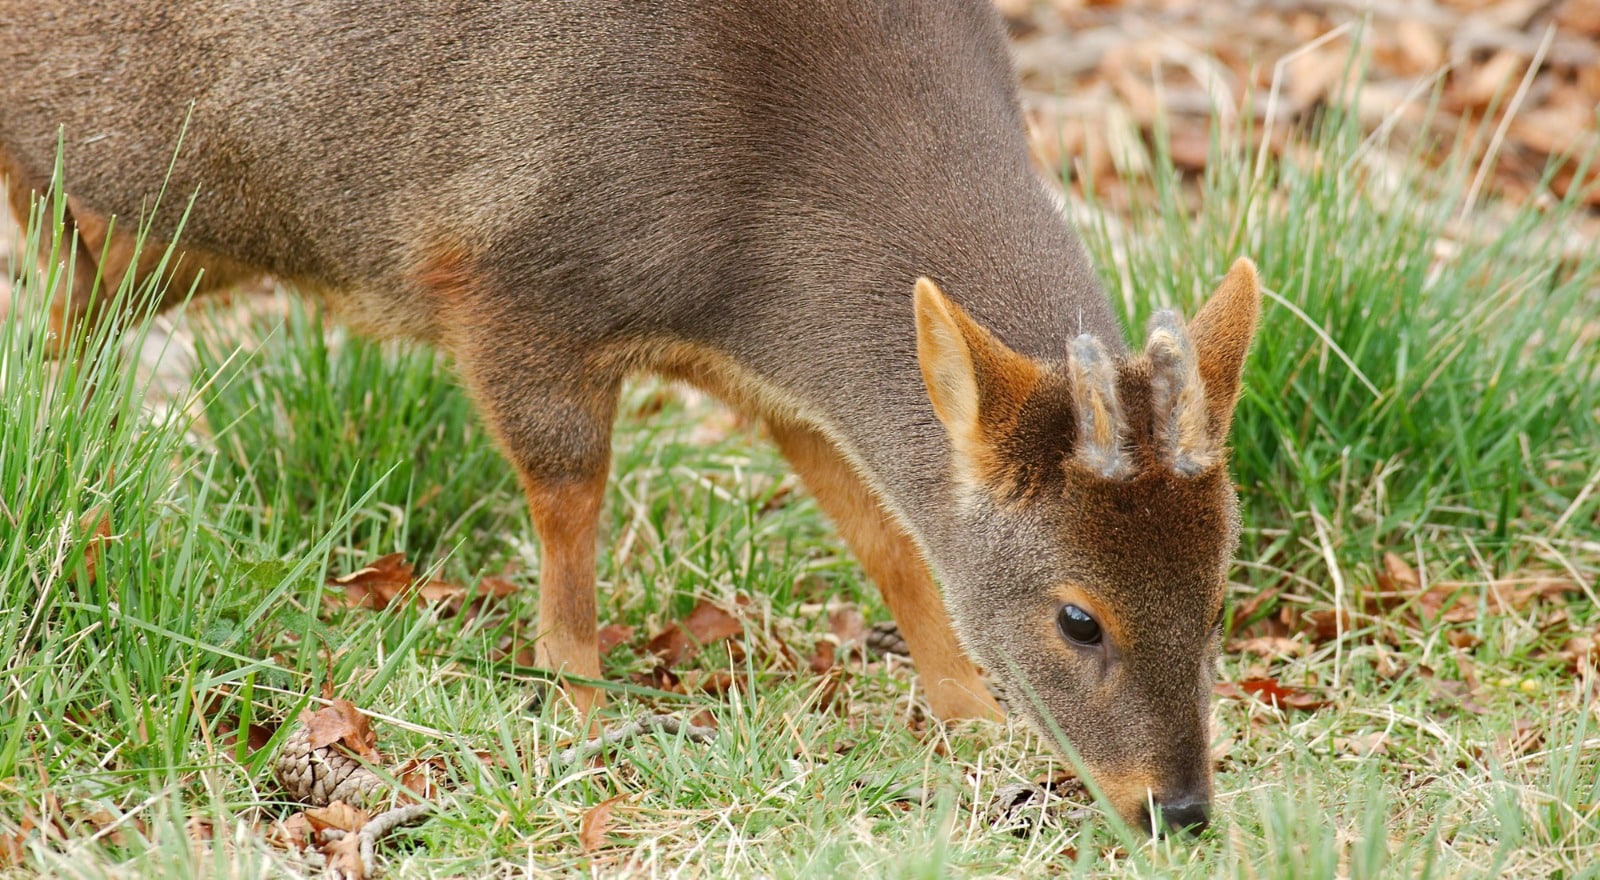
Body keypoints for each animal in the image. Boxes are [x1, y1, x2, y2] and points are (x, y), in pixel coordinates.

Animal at [6, 0, 1260, 838]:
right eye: (1078, 617)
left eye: (1216, 594)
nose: (1178, 806)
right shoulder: (509, 288)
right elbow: (570, 506)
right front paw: (577, 710)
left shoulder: (768, 369)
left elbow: (887, 536)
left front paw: (969, 716)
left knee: (65, 329)